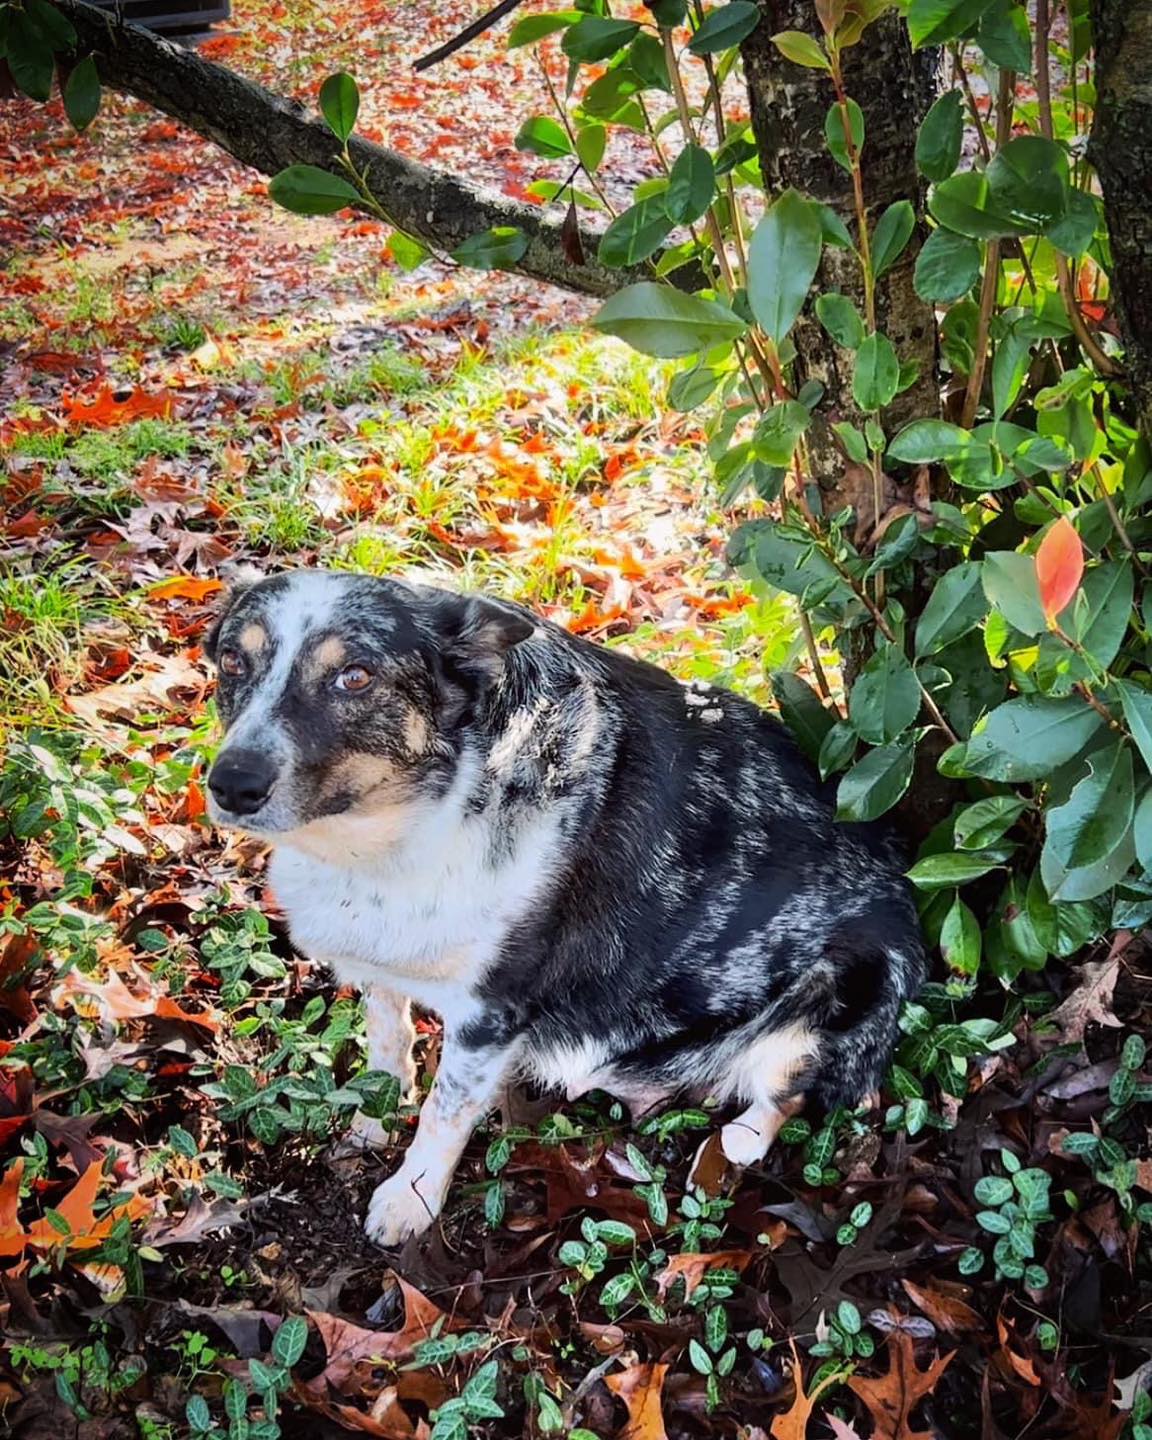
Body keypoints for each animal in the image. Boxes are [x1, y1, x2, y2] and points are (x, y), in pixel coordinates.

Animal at [204, 567, 927, 1244]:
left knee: (791, 1091)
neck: (399, 828)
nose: (231, 783)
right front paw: (371, 1117)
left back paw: (740, 1137)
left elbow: (444, 1113)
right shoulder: (382, 962)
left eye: (354, 677)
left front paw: (410, 1198)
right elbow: (388, 1039)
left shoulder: (491, 1013)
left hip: (845, 988)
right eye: (233, 662)